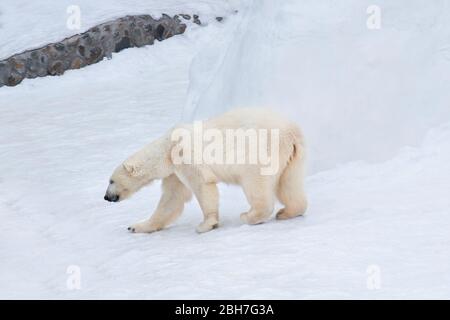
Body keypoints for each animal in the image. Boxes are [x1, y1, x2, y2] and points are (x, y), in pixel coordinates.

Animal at [104, 107, 308, 232]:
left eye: (111, 181)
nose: (106, 197)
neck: (167, 149)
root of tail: (291, 132)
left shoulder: (184, 156)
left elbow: (202, 185)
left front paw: (206, 224)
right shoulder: (174, 172)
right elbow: (172, 198)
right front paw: (136, 226)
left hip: (260, 151)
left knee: (256, 184)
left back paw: (249, 215)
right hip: (292, 158)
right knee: (289, 185)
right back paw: (287, 212)